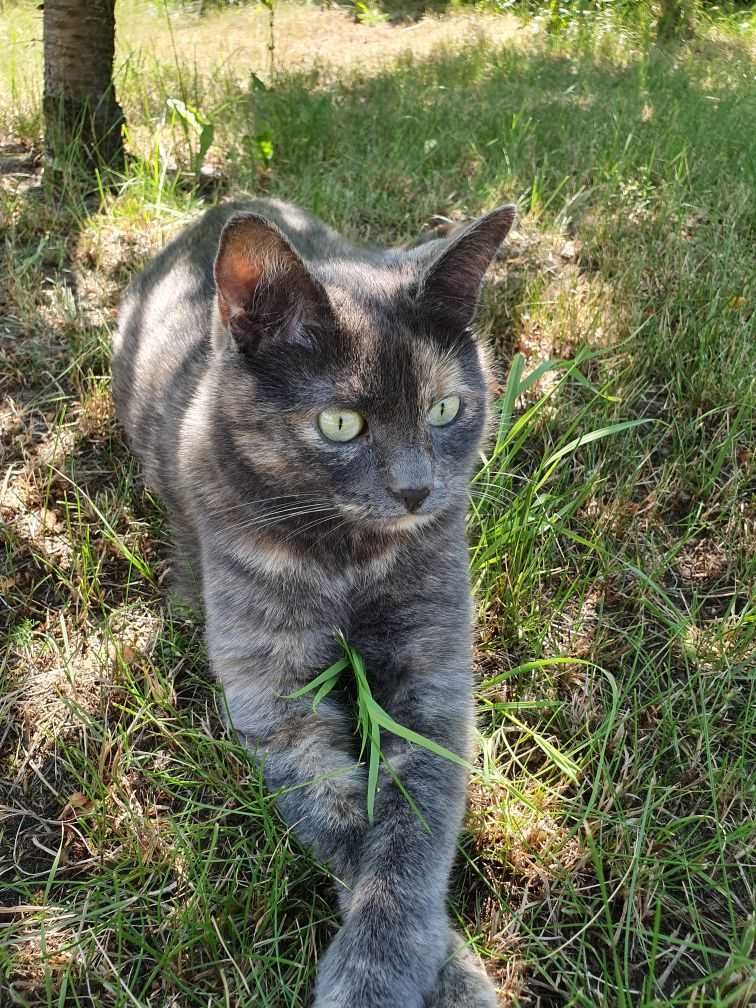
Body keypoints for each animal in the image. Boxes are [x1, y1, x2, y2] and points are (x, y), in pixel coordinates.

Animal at [110, 196, 516, 1008]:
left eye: (445, 409)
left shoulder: (432, 681)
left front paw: (398, 968)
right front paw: (421, 972)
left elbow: (412, 834)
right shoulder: (277, 695)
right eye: (340, 423)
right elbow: (347, 829)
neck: (347, 561)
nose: (417, 489)